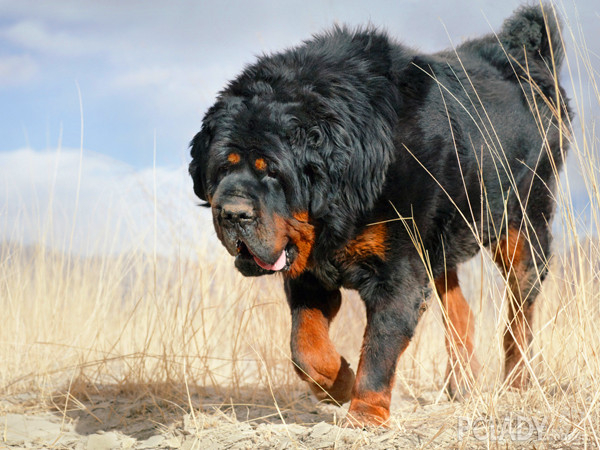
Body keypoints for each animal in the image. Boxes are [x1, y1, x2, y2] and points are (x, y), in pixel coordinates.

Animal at [190, 3, 568, 426]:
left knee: (519, 315)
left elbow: (379, 348)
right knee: (461, 311)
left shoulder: (397, 272)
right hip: (441, 246)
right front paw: (337, 384)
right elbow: (306, 349)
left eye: (271, 169)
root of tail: (523, 58)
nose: (233, 213)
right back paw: (461, 383)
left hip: (521, 229)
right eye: (221, 168)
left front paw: (364, 416)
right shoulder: (310, 273)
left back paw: (516, 382)